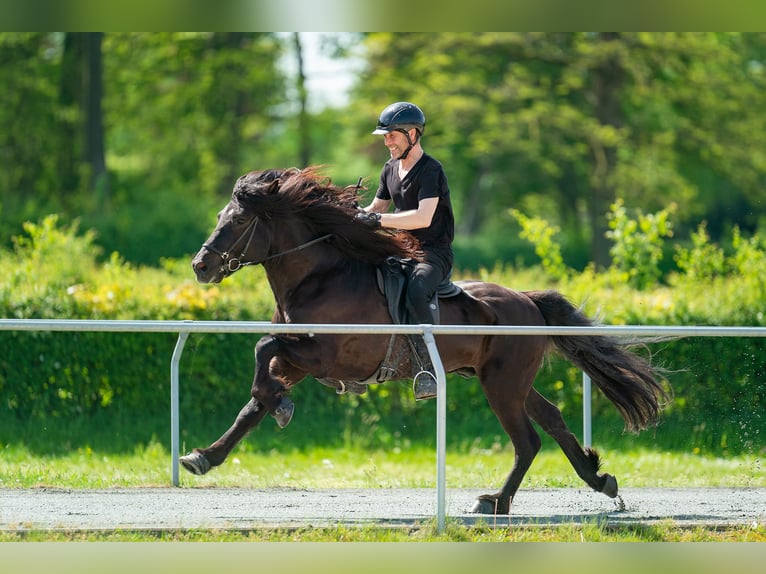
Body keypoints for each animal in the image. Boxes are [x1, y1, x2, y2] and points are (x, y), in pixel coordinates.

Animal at [182, 169, 672, 516]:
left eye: (238, 220)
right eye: (220, 217)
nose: (200, 266)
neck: (320, 277)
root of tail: (528, 301)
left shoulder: (324, 355)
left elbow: (263, 349)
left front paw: (279, 404)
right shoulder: (299, 359)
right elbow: (253, 400)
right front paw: (206, 455)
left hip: (501, 384)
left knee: (528, 439)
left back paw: (496, 502)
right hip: (509, 380)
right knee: (550, 421)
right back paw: (597, 479)